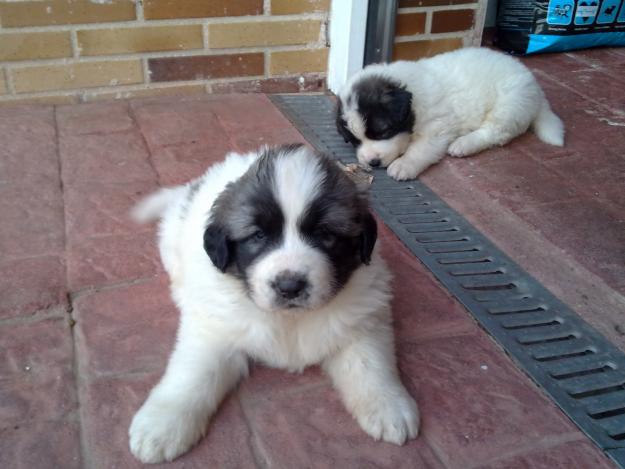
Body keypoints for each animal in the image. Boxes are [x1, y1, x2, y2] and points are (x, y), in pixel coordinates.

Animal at [127, 144, 420, 462]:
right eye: (258, 235)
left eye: (325, 235)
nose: (289, 286)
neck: (289, 320)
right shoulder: (215, 329)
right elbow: (192, 373)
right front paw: (162, 425)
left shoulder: (362, 317)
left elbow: (371, 364)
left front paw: (390, 407)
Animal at [336, 47, 564, 179]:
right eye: (353, 140)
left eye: (383, 132)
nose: (372, 162)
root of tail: (535, 87)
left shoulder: (436, 128)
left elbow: (420, 149)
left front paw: (403, 165)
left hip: (509, 102)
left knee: (496, 132)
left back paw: (463, 144)